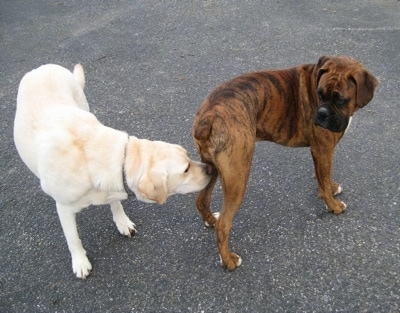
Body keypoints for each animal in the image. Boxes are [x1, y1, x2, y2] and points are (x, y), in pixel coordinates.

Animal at [14, 63, 211, 278]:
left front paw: (122, 222)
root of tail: (43, 67)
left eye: (189, 155)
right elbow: (73, 238)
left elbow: (115, 203)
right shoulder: (64, 208)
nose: (210, 168)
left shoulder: (114, 185)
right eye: (186, 169)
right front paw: (80, 261)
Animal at [193, 56, 378, 270]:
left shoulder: (320, 153)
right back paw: (229, 260)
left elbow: (323, 178)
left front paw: (330, 189)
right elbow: (324, 176)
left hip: (213, 168)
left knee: (202, 200)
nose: (321, 114)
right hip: (237, 177)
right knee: (224, 225)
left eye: (339, 99)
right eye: (320, 94)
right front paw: (333, 205)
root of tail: (209, 115)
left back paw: (210, 220)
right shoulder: (323, 149)